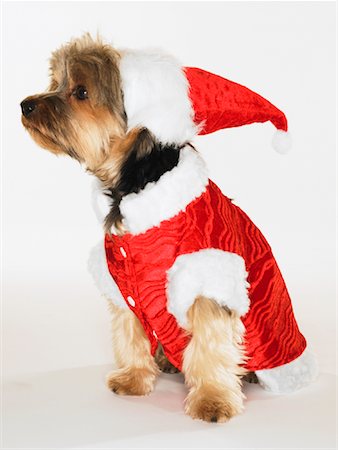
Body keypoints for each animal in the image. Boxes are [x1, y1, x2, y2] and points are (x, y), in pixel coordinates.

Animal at [20, 34, 316, 422]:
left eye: (80, 92)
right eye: (56, 82)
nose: (25, 105)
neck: (134, 188)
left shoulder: (205, 278)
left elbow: (208, 344)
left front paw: (212, 399)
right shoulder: (123, 282)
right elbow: (131, 333)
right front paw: (134, 377)